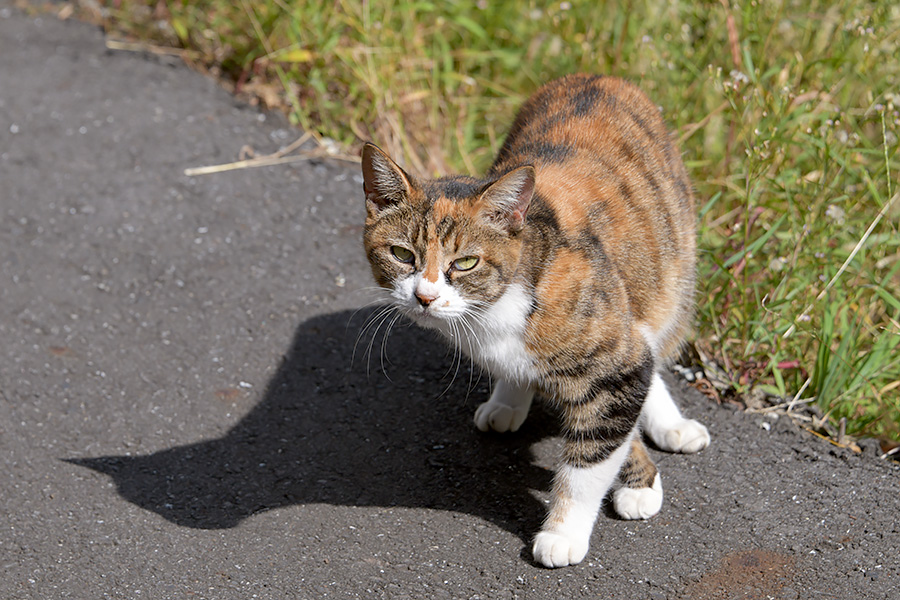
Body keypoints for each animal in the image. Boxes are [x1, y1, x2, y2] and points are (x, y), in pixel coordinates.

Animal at [358, 74, 712, 568]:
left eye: (465, 263)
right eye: (401, 254)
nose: (425, 296)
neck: (493, 311)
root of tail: (598, 75)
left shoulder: (613, 353)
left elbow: (593, 454)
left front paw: (567, 529)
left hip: (672, 272)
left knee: (651, 336)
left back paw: (668, 423)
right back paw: (510, 400)